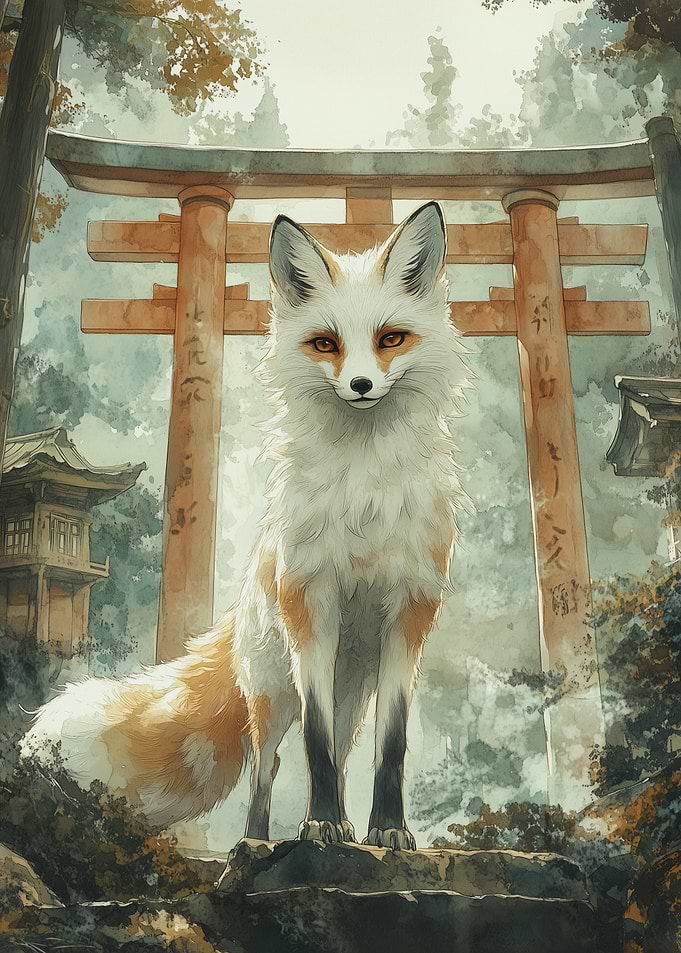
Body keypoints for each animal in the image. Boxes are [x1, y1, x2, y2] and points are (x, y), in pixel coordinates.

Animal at [21, 200, 468, 849]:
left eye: (391, 339)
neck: (362, 492)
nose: (361, 386)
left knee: (339, 749)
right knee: (270, 761)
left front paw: (386, 829)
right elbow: (314, 747)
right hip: (276, 689)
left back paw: (345, 830)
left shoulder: (410, 615)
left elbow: (391, 747)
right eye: (326, 343)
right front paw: (320, 826)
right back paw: (259, 839)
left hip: (352, 688)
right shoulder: (311, 606)